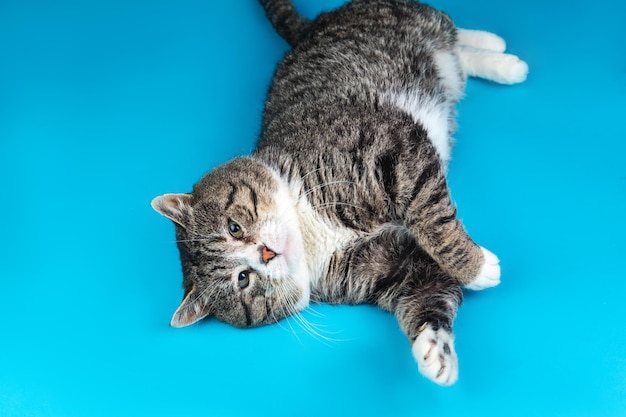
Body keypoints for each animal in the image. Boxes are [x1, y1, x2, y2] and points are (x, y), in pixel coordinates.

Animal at [151, 0, 528, 386]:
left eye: (234, 228)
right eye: (243, 279)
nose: (266, 253)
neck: (308, 230)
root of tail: (313, 27)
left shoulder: (389, 146)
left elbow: (432, 217)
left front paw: (476, 267)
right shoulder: (380, 265)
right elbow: (426, 288)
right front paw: (434, 352)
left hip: (410, 22)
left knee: (448, 30)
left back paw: (497, 50)